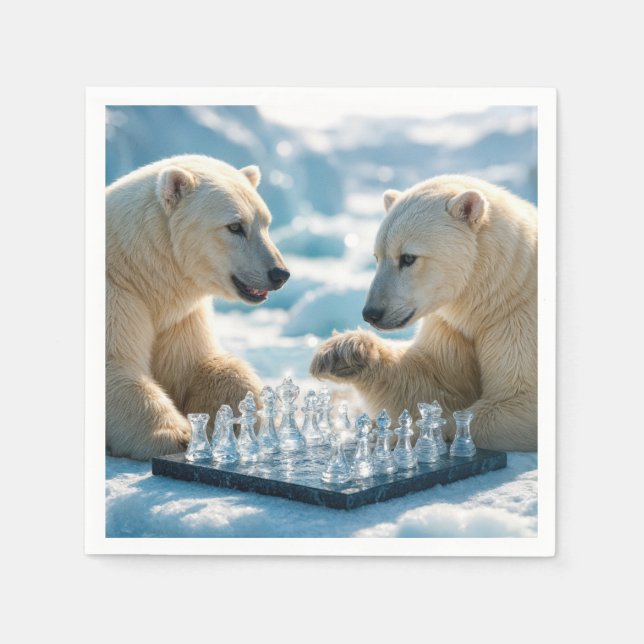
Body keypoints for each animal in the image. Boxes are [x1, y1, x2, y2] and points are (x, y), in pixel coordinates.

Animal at [106, 154, 290, 460]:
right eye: (235, 226)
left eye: (265, 223)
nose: (279, 273)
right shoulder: (118, 296)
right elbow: (115, 366)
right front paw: (177, 435)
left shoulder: (181, 315)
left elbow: (197, 366)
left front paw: (246, 416)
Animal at [310, 175, 537, 452]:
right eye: (377, 256)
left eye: (408, 257)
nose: (371, 313)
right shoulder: (449, 323)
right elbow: (433, 378)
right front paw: (342, 352)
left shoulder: (517, 320)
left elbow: (521, 398)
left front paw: (394, 432)